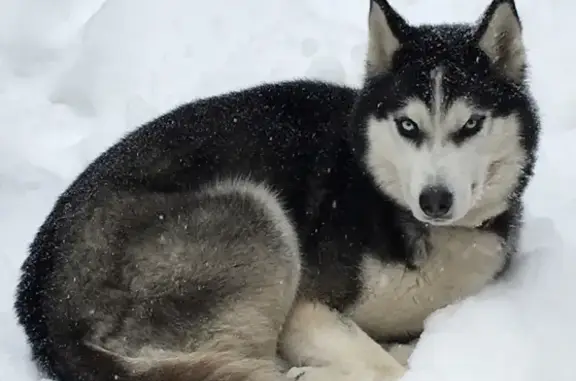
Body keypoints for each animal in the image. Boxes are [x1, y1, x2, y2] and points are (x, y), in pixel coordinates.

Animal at [13, 0, 540, 380]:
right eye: (408, 125)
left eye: (472, 124)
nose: (435, 200)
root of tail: (46, 315)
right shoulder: (306, 309)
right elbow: (387, 369)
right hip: (253, 213)